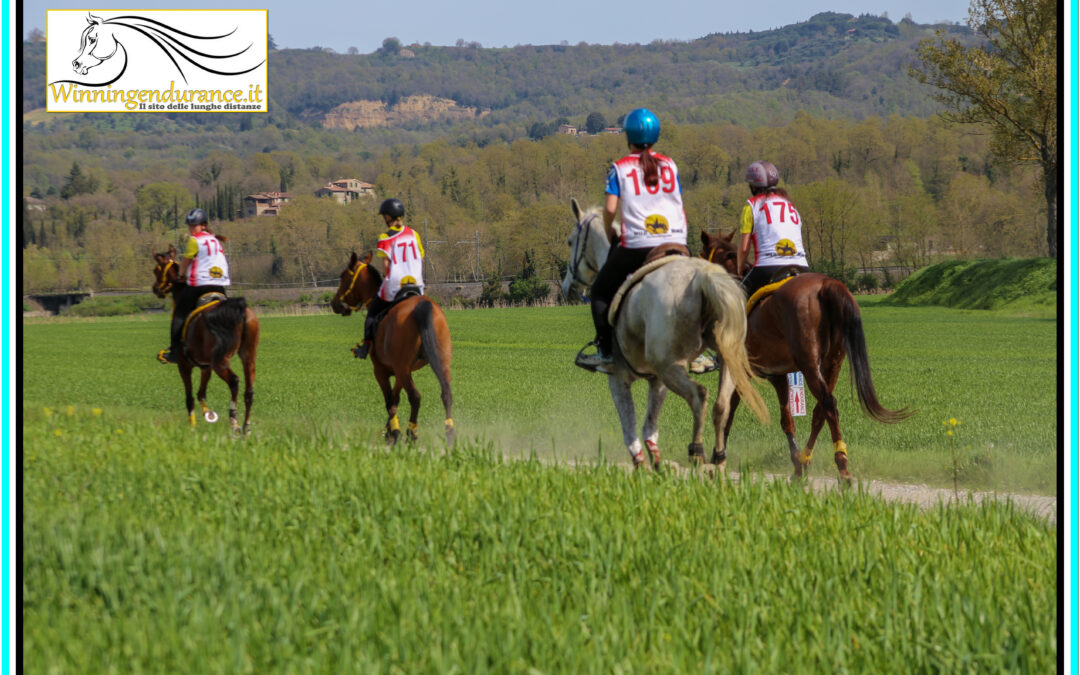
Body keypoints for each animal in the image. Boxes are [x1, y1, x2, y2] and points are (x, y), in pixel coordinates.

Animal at [152, 245, 259, 434]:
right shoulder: (205, 366)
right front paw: (208, 414)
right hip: (248, 356)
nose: (155, 288)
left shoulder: (184, 366)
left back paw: (234, 420)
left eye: (156, 270)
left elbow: (190, 398)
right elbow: (201, 393)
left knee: (234, 382)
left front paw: (192, 426)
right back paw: (246, 427)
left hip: (220, 361)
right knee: (249, 390)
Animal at [324, 250, 451, 444]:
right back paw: (450, 434)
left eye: (343, 277)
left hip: (403, 368)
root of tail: (423, 305)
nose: (334, 303)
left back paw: (411, 435)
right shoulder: (399, 371)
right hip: (437, 364)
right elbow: (395, 398)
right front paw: (389, 430)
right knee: (446, 393)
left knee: (415, 397)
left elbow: (389, 401)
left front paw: (394, 432)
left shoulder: (381, 371)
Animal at [561, 199, 773, 468]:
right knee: (721, 405)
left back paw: (697, 452)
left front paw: (641, 464)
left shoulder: (619, 379)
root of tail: (703, 277)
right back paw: (719, 460)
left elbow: (630, 431)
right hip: (725, 359)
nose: (567, 287)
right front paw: (657, 464)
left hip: (669, 367)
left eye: (570, 241)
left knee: (699, 396)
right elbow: (650, 428)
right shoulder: (657, 380)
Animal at [699, 230, 911, 479]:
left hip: (809, 364)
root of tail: (826, 284)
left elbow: (728, 413)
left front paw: (717, 458)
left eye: (702, 254)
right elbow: (787, 419)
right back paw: (805, 463)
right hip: (833, 363)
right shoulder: (779, 375)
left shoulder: (741, 371)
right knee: (822, 409)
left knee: (827, 403)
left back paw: (840, 467)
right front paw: (795, 459)